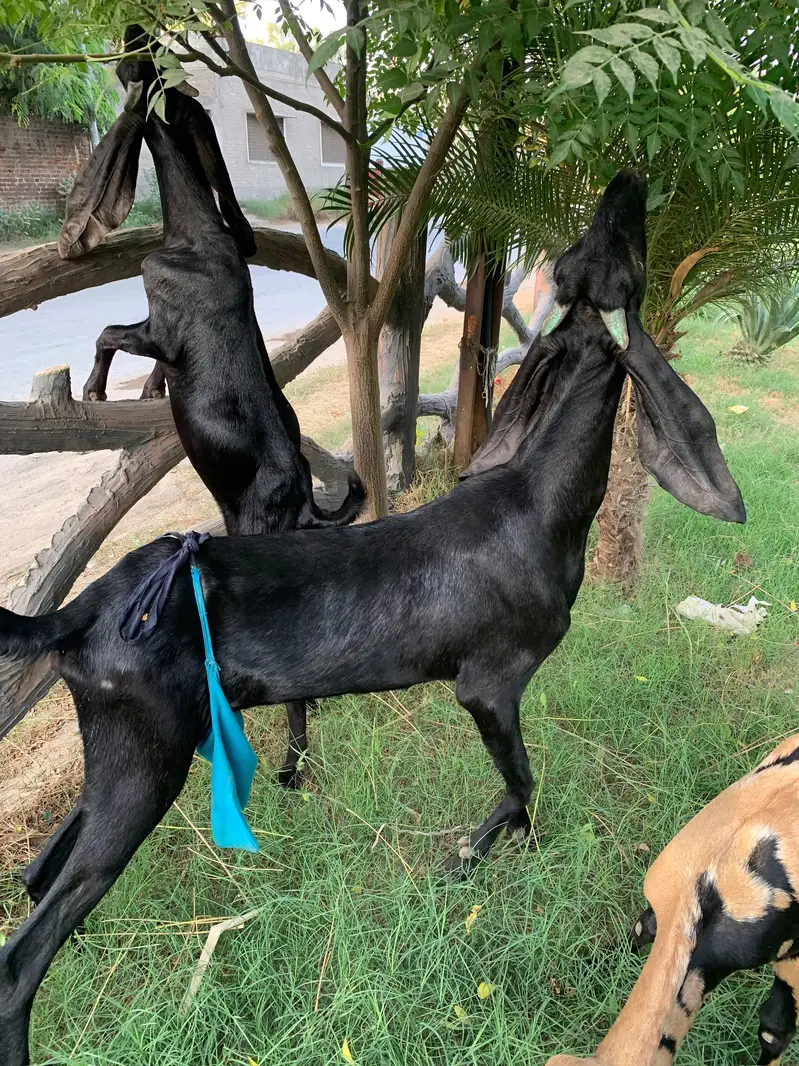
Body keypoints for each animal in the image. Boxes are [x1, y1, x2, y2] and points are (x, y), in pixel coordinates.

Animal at [0, 171, 745, 1065]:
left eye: (582, 260)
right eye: (611, 263)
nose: (628, 183)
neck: (537, 506)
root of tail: (79, 611)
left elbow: (519, 791)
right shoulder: (488, 684)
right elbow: (521, 784)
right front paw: (476, 859)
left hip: (121, 746)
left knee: (37, 878)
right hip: (146, 758)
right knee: (22, 956)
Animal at [58, 26, 365, 791]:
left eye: (141, 69)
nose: (135, 33)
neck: (197, 234)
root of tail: (305, 505)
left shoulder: (158, 327)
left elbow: (108, 333)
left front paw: (99, 389)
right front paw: (144, 392)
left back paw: (288, 770)